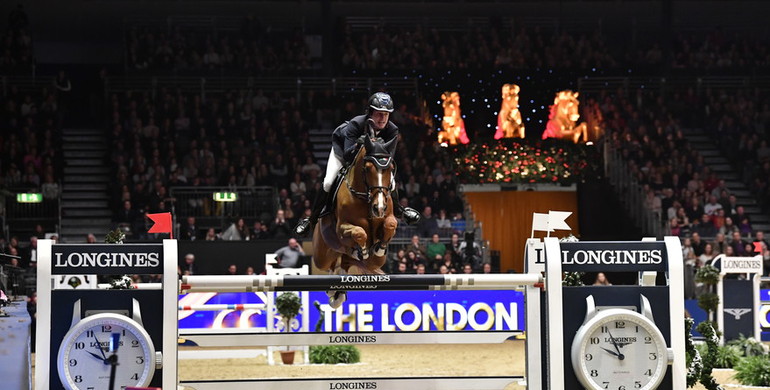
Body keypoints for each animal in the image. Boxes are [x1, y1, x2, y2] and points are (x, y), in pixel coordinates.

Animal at [310, 136, 396, 308]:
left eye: (390, 168)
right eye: (367, 168)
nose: (379, 208)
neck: (365, 197)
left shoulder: (387, 218)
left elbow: (390, 224)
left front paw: (379, 248)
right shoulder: (341, 229)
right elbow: (359, 232)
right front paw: (363, 250)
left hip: (373, 262)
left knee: (344, 264)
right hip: (322, 255)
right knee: (330, 265)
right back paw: (334, 292)